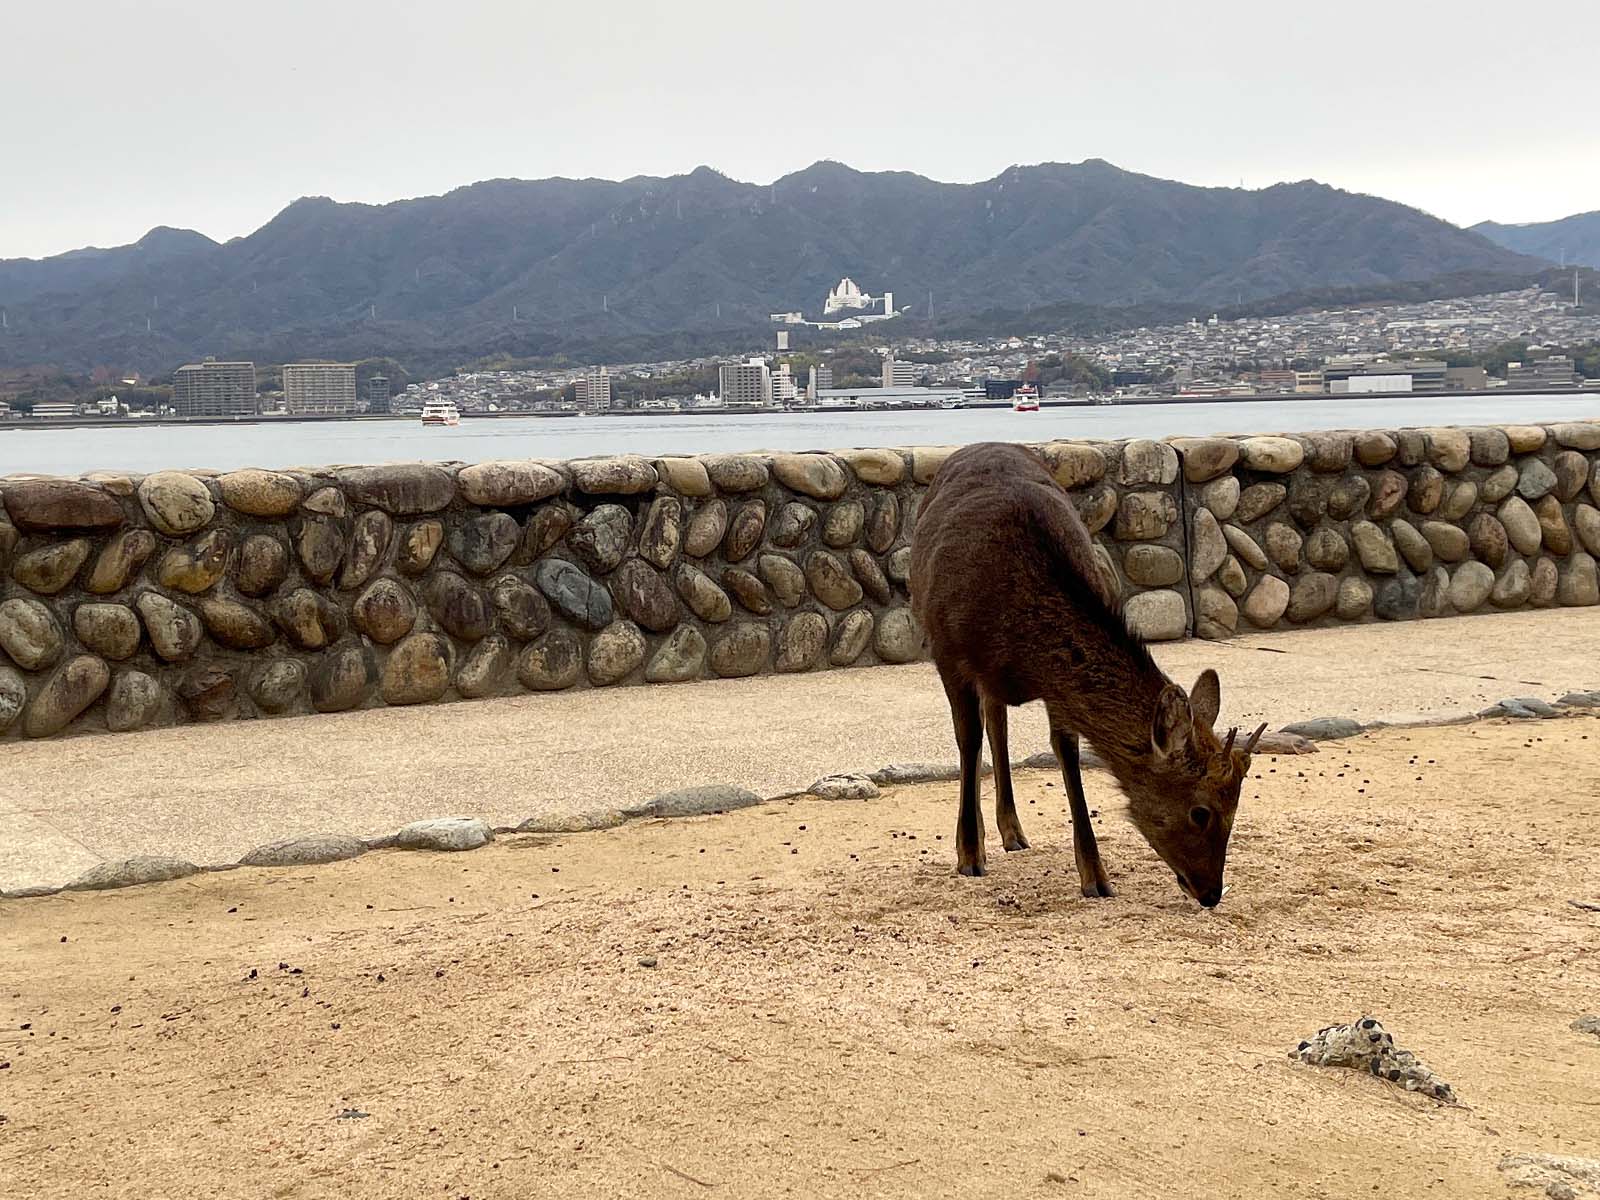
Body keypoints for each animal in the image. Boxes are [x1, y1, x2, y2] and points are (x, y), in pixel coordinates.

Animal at [915, 448, 1260, 908]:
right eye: (1200, 811)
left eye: (1237, 805)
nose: (1211, 893)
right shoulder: (948, 653)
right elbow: (967, 741)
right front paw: (969, 854)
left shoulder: (1056, 690)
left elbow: (1068, 755)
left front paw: (1095, 876)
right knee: (986, 726)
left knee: (998, 721)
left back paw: (1013, 831)